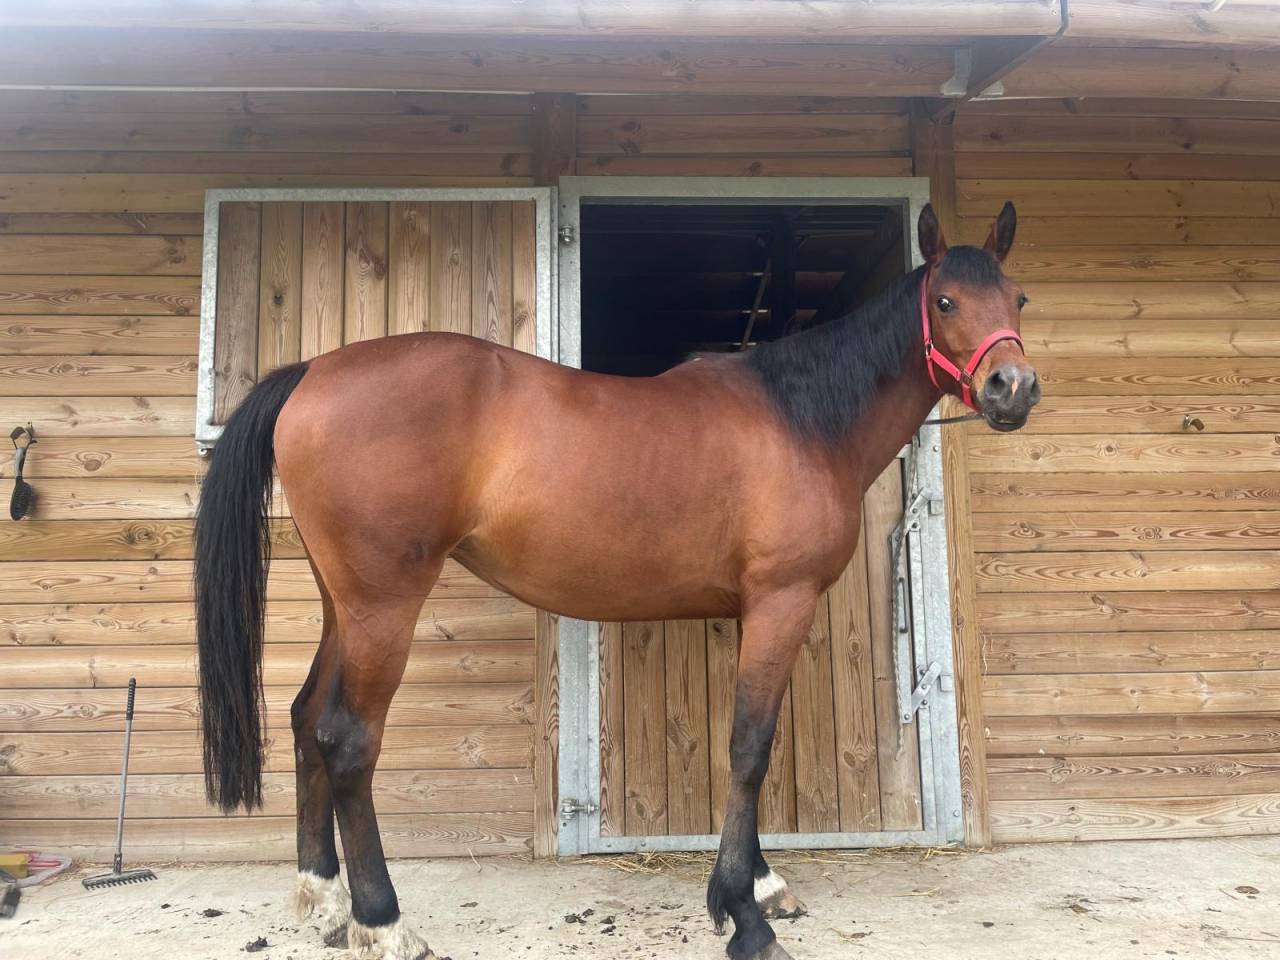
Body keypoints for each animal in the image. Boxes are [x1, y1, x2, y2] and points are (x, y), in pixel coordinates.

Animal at [194, 201, 1038, 960]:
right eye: (945, 301)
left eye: (1018, 298)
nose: (1013, 387)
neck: (801, 419)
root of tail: (314, 370)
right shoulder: (781, 602)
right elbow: (750, 748)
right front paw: (744, 916)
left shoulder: (752, 612)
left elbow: (744, 742)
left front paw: (761, 883)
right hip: (383, 605)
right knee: (347, 740)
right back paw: (383, 920)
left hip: (344, 604)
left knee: (307, 718)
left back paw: (326, 901)